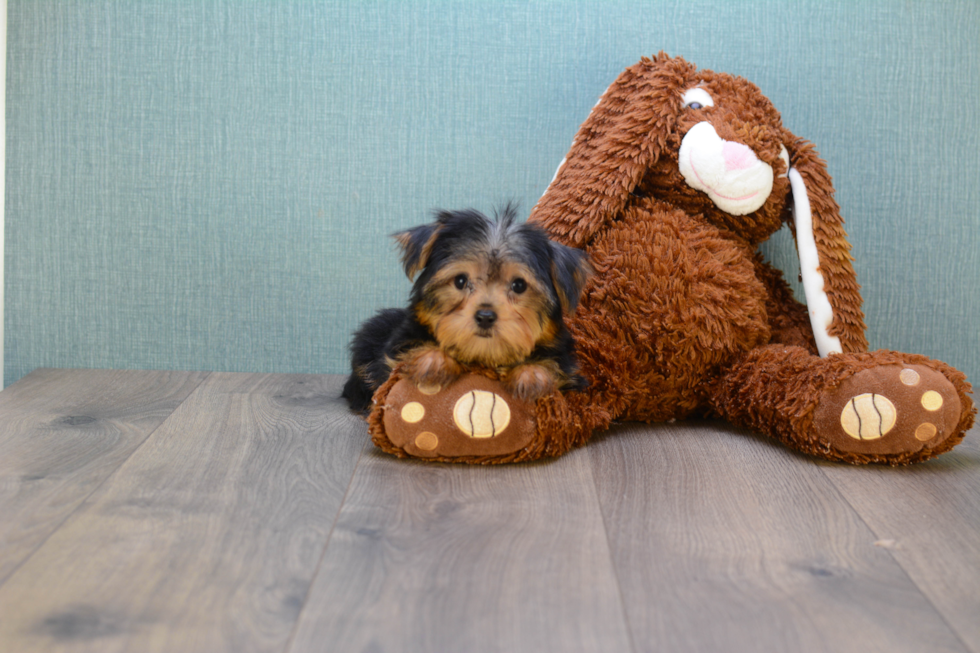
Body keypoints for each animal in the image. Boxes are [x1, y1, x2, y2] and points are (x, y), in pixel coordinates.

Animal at [342, 205, 588, 412]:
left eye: (519, 285)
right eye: (460, 281)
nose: (485, 316)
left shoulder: (569, 369)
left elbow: (554, 365)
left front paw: (532, 375)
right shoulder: (398, 345)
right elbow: (410, 351)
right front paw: (433, 361)